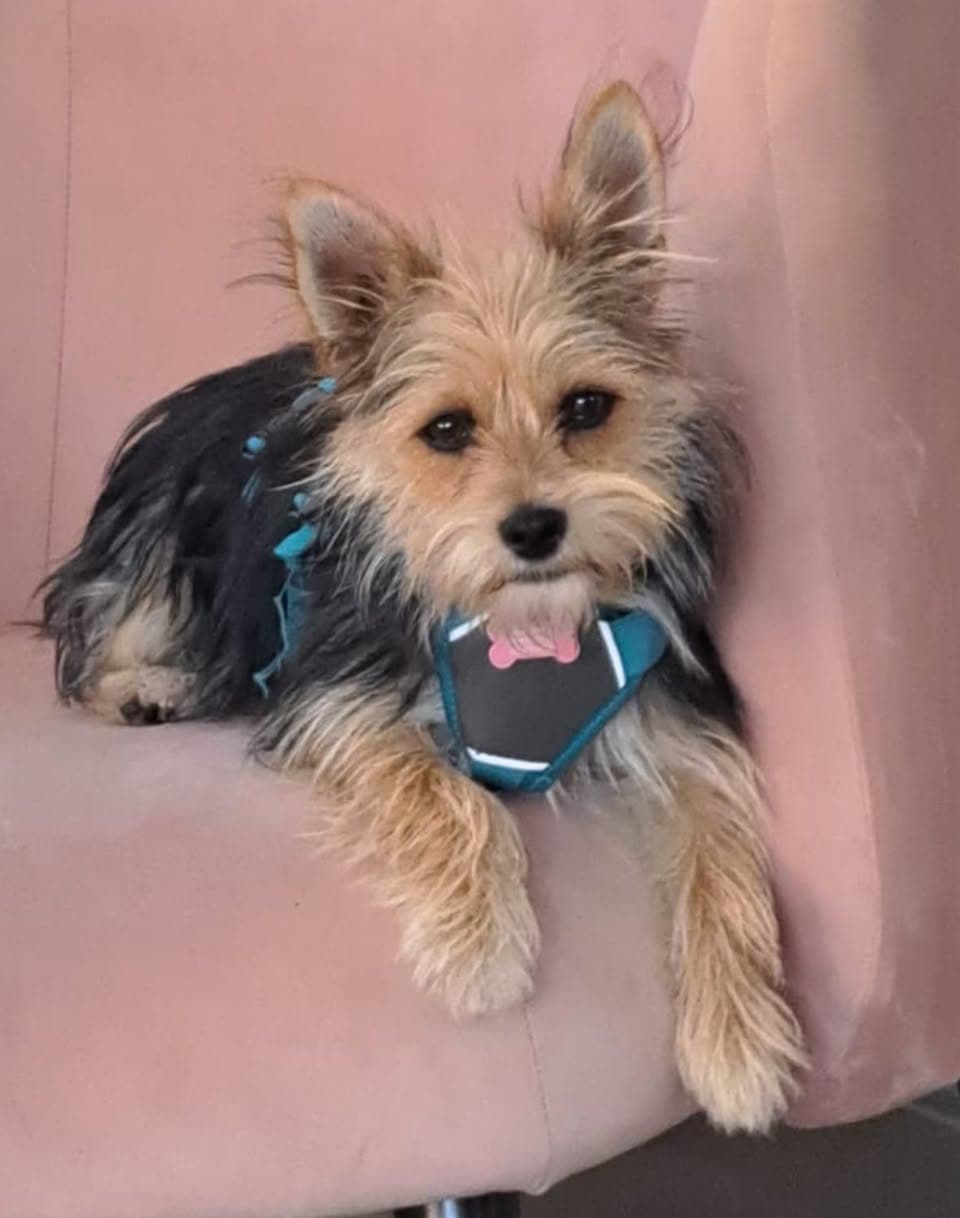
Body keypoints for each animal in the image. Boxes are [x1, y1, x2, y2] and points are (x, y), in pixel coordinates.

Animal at [41, 81, 806, 1133]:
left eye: (587, 408)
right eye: (446, 430)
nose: (534, 527)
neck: (529, 627)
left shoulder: (682, 722)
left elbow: (722, 849)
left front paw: (738, 1042)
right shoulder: (339, 698)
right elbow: (441, 788)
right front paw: (483, 943)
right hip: (161, 548)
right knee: (94, 643)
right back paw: (145, 689)